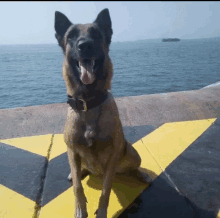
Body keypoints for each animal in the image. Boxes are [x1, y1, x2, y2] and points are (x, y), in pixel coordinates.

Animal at [54, 7, 151, 217]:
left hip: (131, 152)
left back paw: (141, 174)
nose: (85, 45)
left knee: (133, 168)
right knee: (78, 172)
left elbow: (106, 189)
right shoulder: (72, 151)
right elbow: (78, 187)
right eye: (71, 36)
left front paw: (102, 211)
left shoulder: (113, 155)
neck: (88, 102)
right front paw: (80, 209)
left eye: (96, 34)